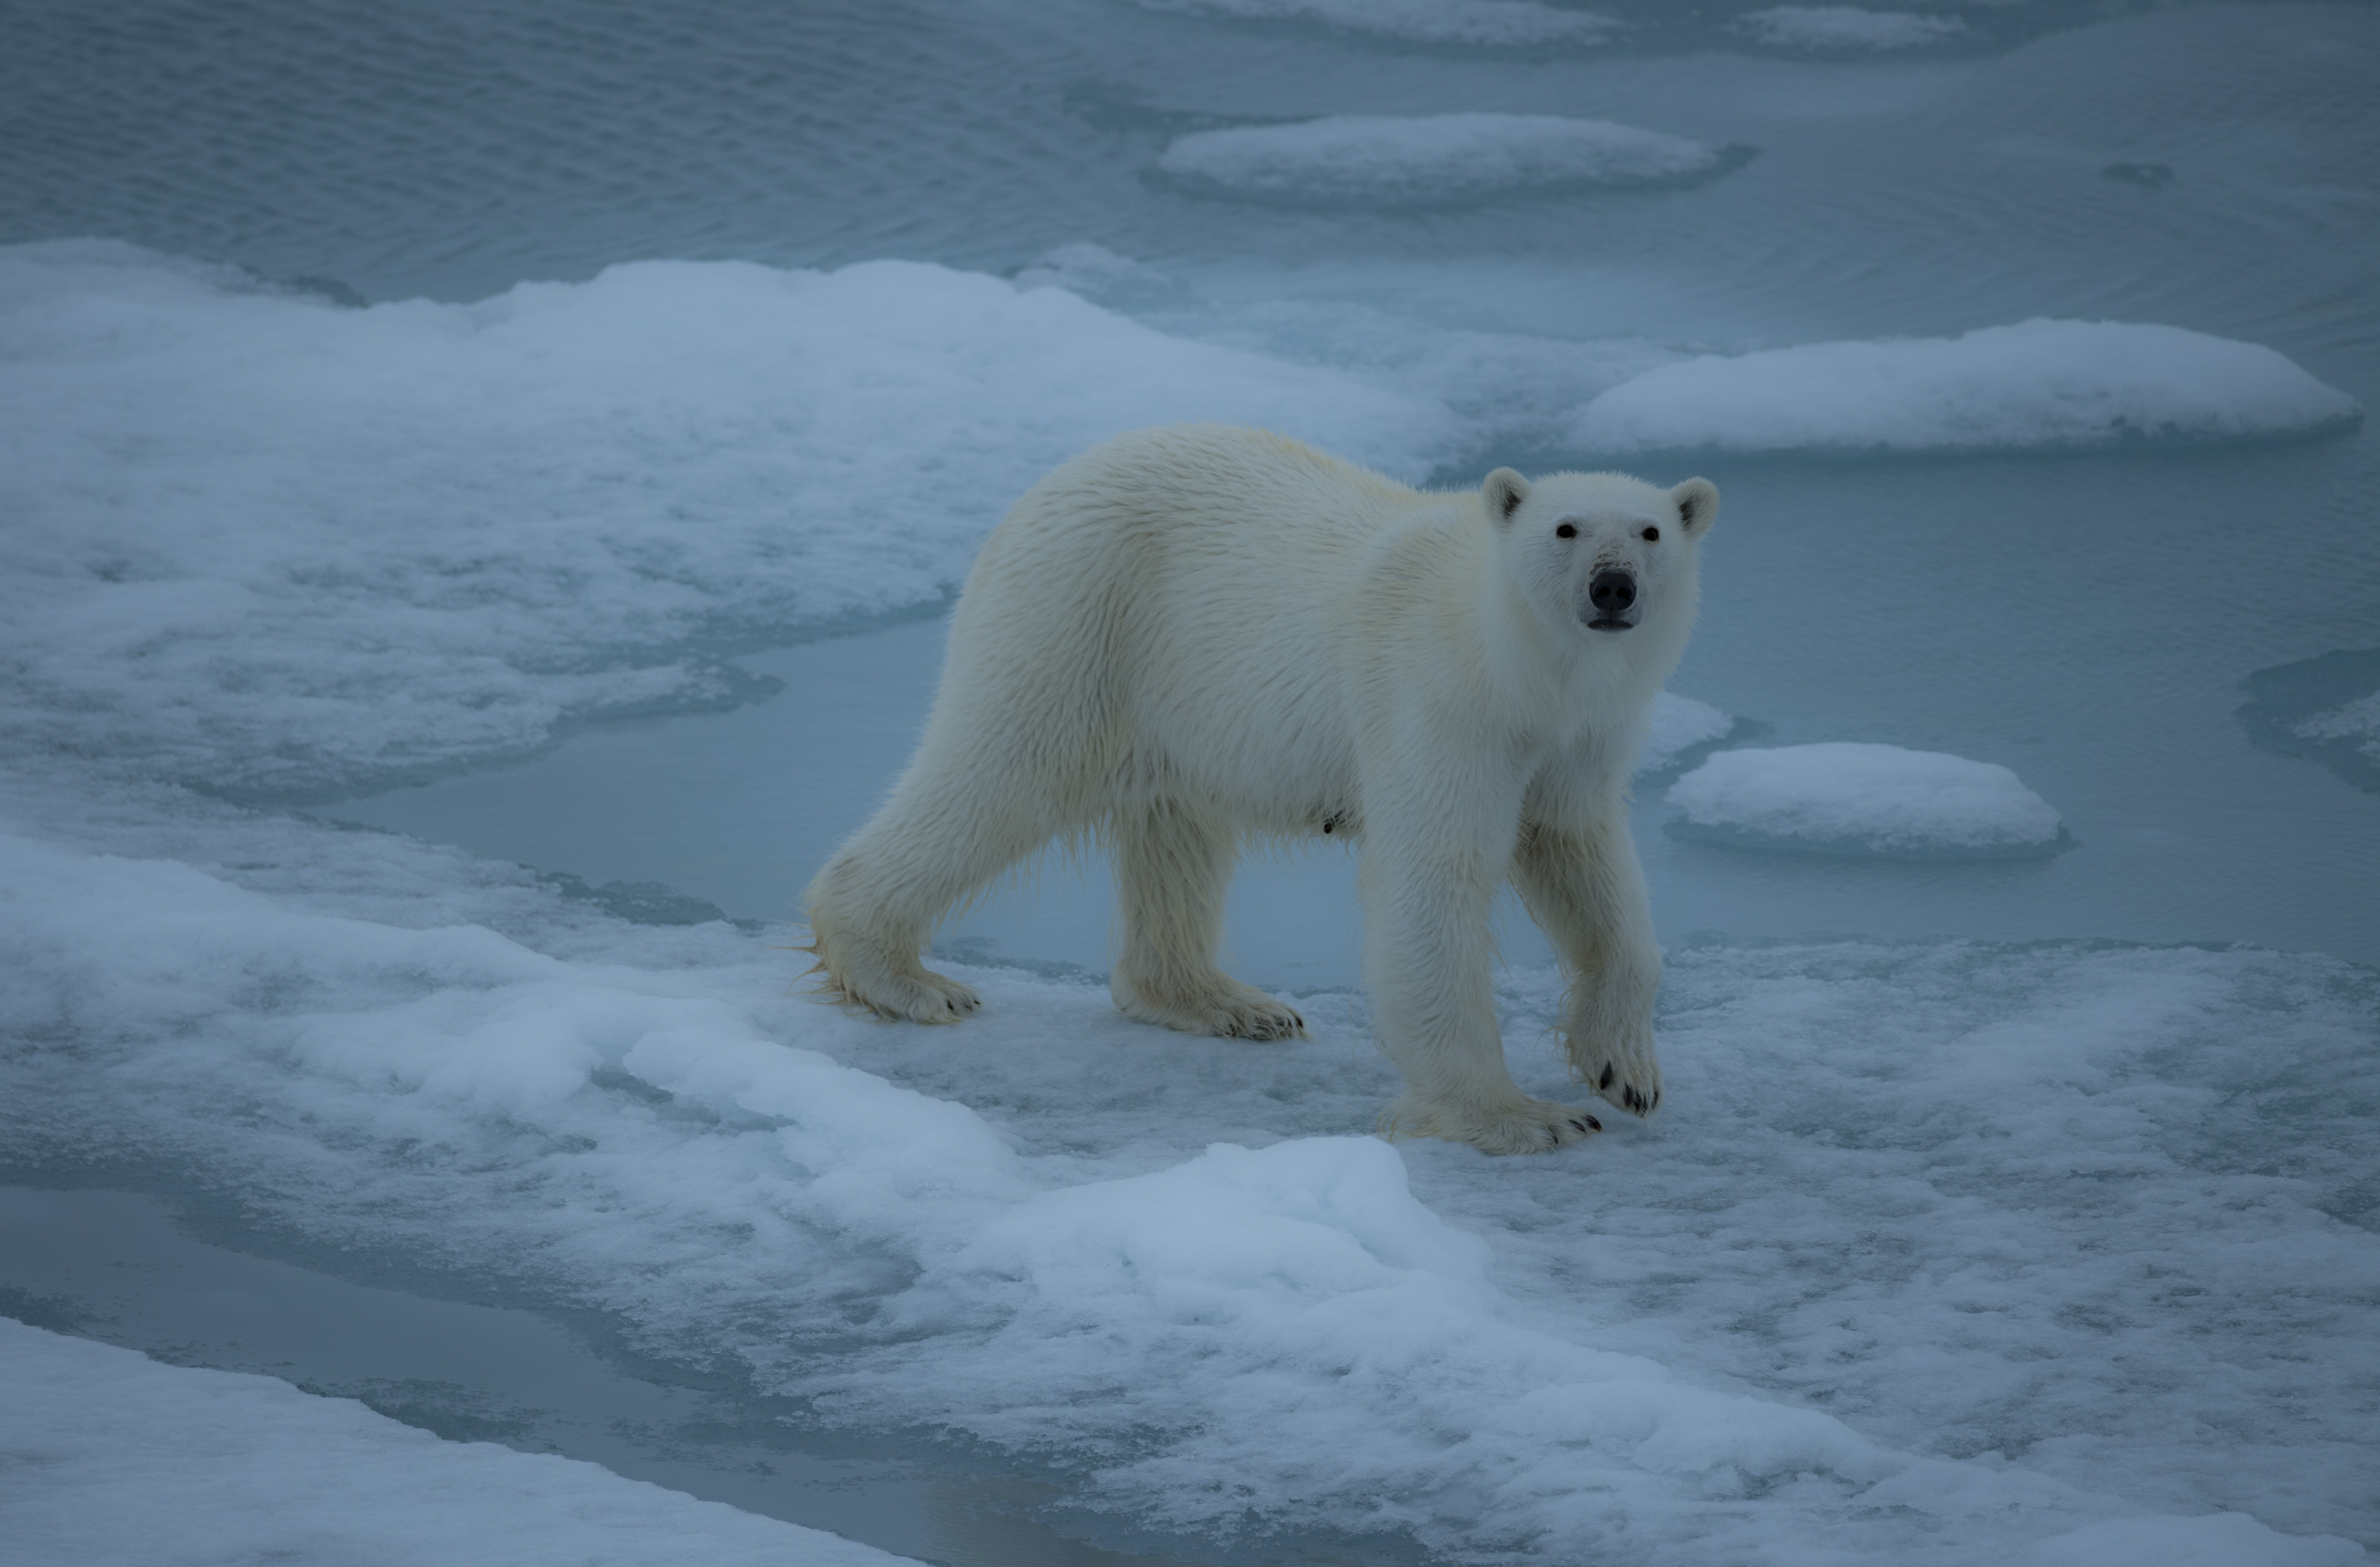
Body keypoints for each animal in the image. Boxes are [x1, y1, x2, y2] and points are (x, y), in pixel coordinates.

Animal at [804, 422, 1713, 1153]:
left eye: (1649, 531)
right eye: (1565, 528)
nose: (1611, 586)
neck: (1513, 661)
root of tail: (1041, 489)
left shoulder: (1576, 743)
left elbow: (1581, 857)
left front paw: (1624, 1070)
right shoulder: (1439, 702)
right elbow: (1434, 877)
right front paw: (1524, 1117)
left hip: (1174, 694)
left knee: (1175, 828)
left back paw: (1230, 1004)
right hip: (1079, 617)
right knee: (1004, 772)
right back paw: (905, 979)